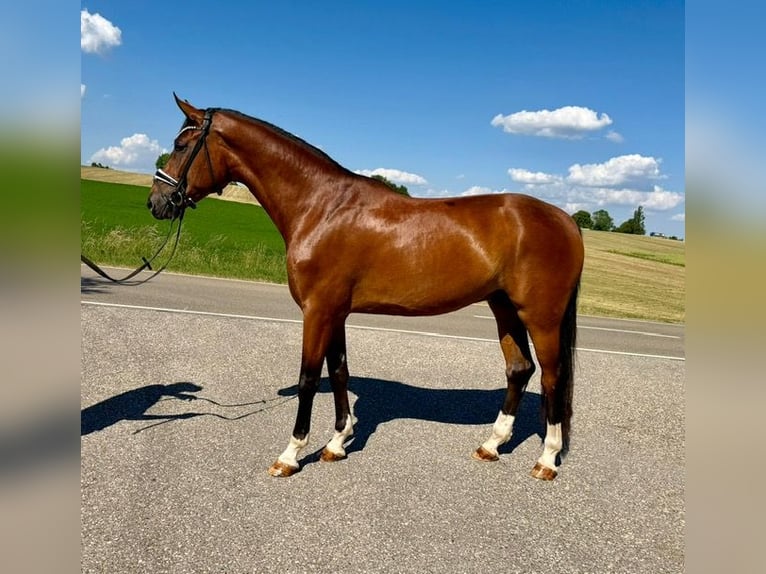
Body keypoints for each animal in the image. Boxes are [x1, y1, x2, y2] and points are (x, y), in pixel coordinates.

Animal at [148, 94, 584, 480]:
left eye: (181, 145)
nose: (158, 202)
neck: (322, 207)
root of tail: (565, 219)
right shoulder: (335, 312)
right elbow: (340, 371)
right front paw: (337, 443)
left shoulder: (318, 310)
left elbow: (309, 378)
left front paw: (290, 455)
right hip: (503, 307)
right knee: (519, 369)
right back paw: (492, 445)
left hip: (541, 317)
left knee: (552, 377)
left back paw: (546, 459)